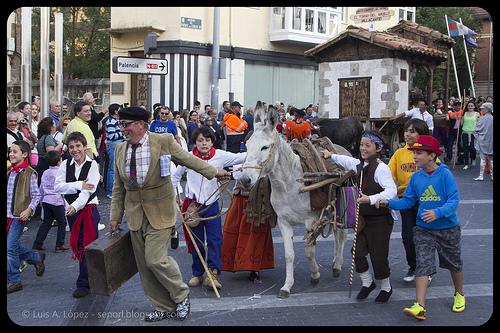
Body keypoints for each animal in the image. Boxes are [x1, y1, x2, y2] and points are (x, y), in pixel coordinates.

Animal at [240, 100, 350, 296]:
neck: (288, 183)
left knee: (341, 233)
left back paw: (337, 265)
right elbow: (289, 255)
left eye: (264, 147)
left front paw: (315, 275)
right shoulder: (284, 221)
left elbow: (309, 250)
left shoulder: (311, 220)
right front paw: (286, 286)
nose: (245, 180)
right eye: (246, 146)